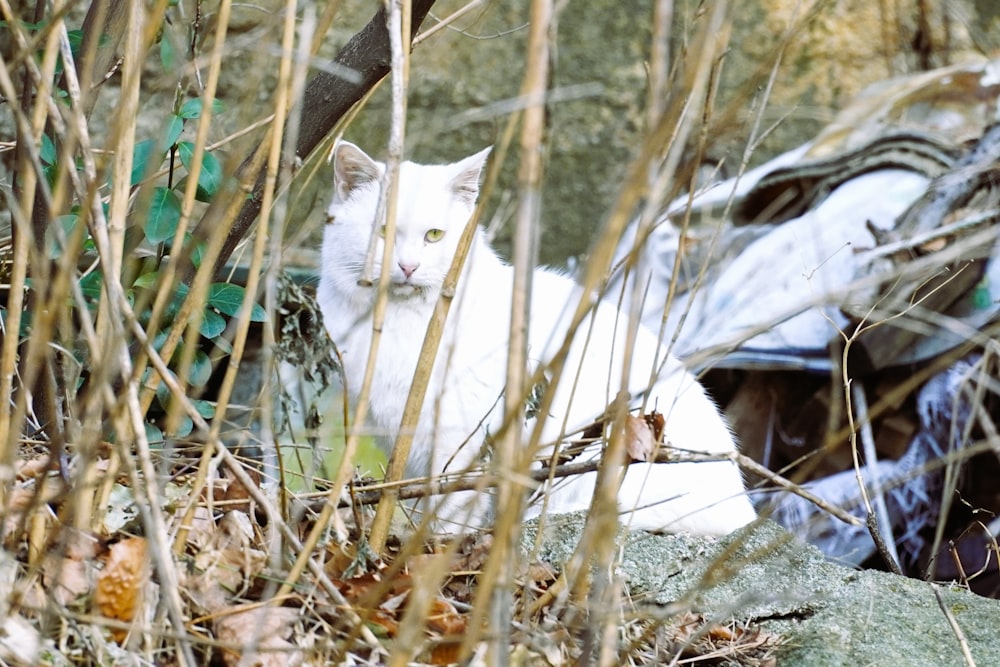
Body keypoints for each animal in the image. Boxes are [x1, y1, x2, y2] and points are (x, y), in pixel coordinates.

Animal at [316, 142, 752, 536]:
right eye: (383, 232)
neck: (400, 321)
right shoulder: (399, 437)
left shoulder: (460, 435)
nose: (408, 266)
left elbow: (447, 506)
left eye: (435, 235)